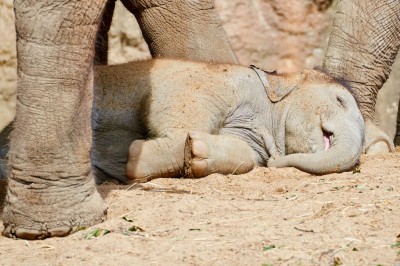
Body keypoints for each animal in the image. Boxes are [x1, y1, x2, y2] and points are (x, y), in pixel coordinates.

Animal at [91, 58, 366, 184]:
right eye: (340, 100)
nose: (274, 162)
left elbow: (247, 158)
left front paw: (197, 150)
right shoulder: (211, 84)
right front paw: (134, 156)